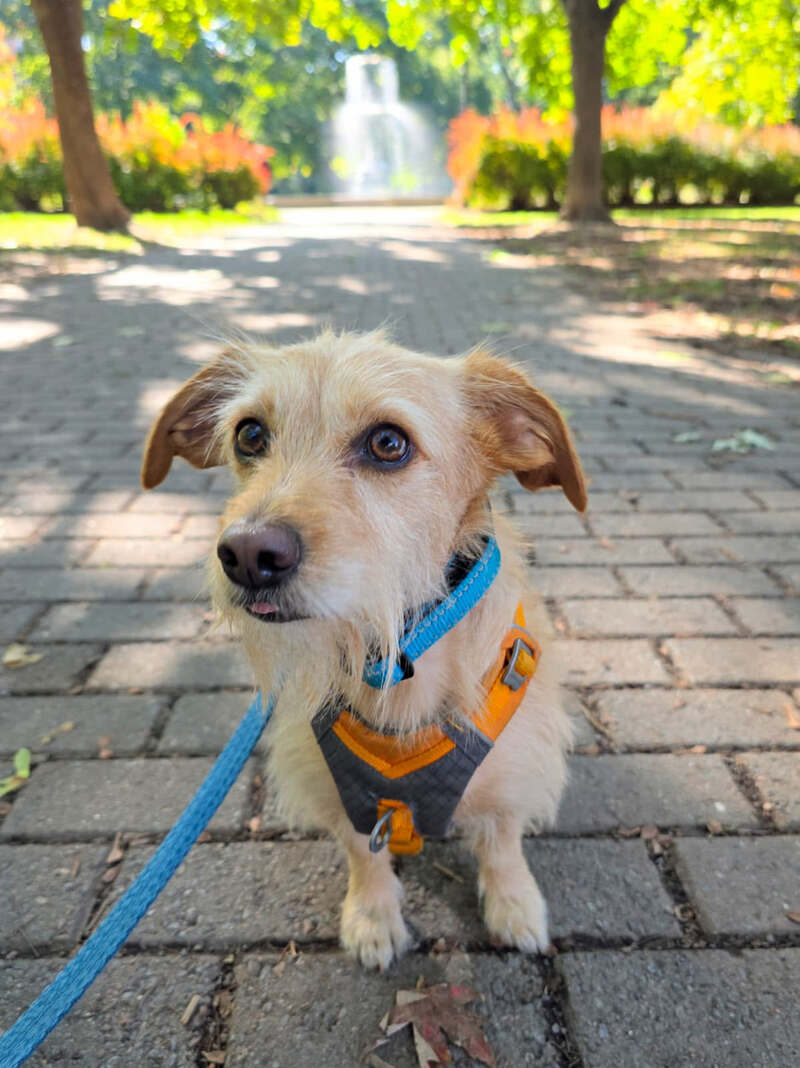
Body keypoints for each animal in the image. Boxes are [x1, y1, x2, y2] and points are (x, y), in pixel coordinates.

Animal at [142, 329, 586, 970]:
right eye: (249, 434)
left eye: (388, 442)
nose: (248, 555)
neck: (396, 664)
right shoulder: (337, 792)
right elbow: (362, 851)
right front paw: (373, 915)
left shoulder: (516, 773)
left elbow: (502, 843)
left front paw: (514, 904)